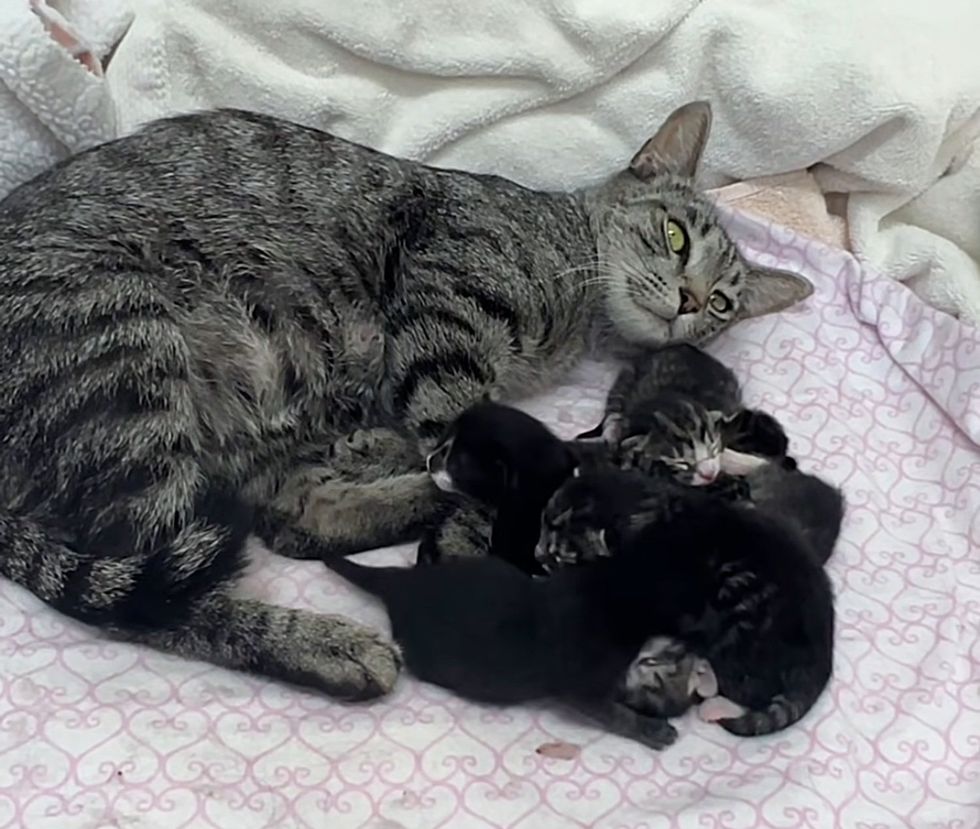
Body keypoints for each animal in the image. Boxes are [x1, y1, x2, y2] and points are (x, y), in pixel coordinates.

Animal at [0, 102, 812, 700]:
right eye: (675, 237)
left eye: (724, 303)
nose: (692, 299)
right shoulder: (448, 316)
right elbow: (458, 433)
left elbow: (427, 441)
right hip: (125, 357)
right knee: (160, 596)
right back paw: (326, 643)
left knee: (289, 518)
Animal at [536, 468, 836, 736]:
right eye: (543, 522)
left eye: (561, 555)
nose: (538, 554)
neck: (646, 511)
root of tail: (822, 655)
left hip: (735, 637)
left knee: (748, 690)